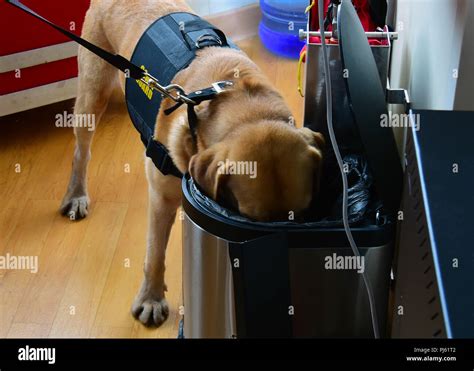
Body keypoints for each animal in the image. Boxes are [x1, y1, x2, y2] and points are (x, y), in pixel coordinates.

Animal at [61, 0, 324, 326]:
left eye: (299, 217)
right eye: (249, 217)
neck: (241, 103)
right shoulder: (161, 197)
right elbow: (155, 253)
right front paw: (151, 297)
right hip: (92, 88)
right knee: (81, 151)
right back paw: (76, 194)